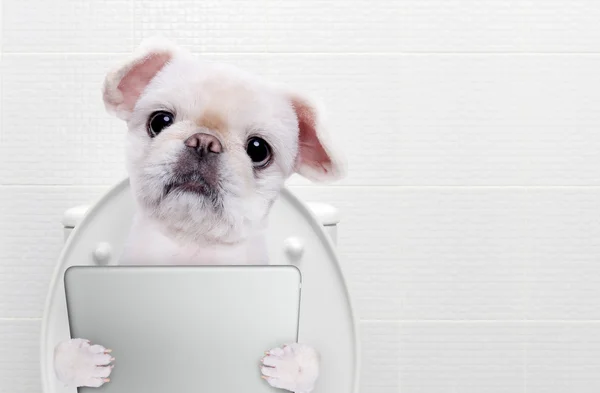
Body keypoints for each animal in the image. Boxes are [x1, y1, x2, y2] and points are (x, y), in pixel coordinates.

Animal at [53, 39, 346, 392]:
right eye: (160, 121)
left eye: (258, 150)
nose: (204, 141)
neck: (193, 244)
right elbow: (61, 357)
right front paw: (82, 359)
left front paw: (292, 363)